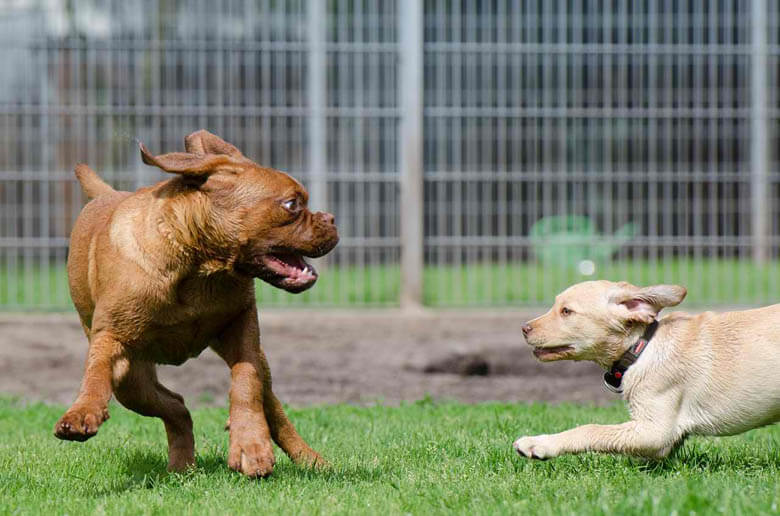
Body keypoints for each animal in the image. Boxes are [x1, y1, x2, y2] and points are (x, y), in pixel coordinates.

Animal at [53, 131, 336, 478]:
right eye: (292, 204)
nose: (331, 219)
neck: (198, 265)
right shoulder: (111, 339)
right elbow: (94, 374)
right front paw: (82, 411)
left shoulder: (242, 329)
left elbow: (246, 384)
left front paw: (250, 445)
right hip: (132, 382)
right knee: (176, 405)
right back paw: (181, 465)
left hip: (257, 363)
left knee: (270, 407)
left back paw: (309, 459)